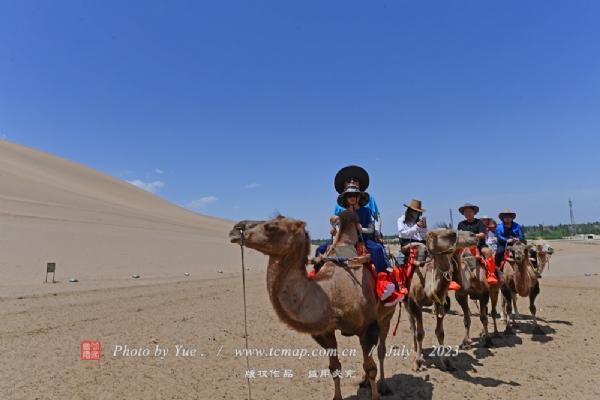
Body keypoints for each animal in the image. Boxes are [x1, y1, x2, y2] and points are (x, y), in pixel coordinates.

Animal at [230, 212, 398, 400]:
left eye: (271, 226)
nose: (236, 228)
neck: (331, 294)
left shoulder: (369, 327)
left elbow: (371, 368)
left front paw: (376, 395)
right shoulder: (325, 331)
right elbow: (335, 368)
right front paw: (337, 397)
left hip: (387, 315)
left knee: (381, 350)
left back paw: (384, 386)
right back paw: (364, 382)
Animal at [408, 231, 478, 372]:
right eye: (451, 234)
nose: (474, 235)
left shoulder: (441, 302)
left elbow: (440, 332)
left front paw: (446, 362)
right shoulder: (415, 304)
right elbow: (419, 334)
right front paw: (418, 363)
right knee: (412, 325)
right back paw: (415, 352)